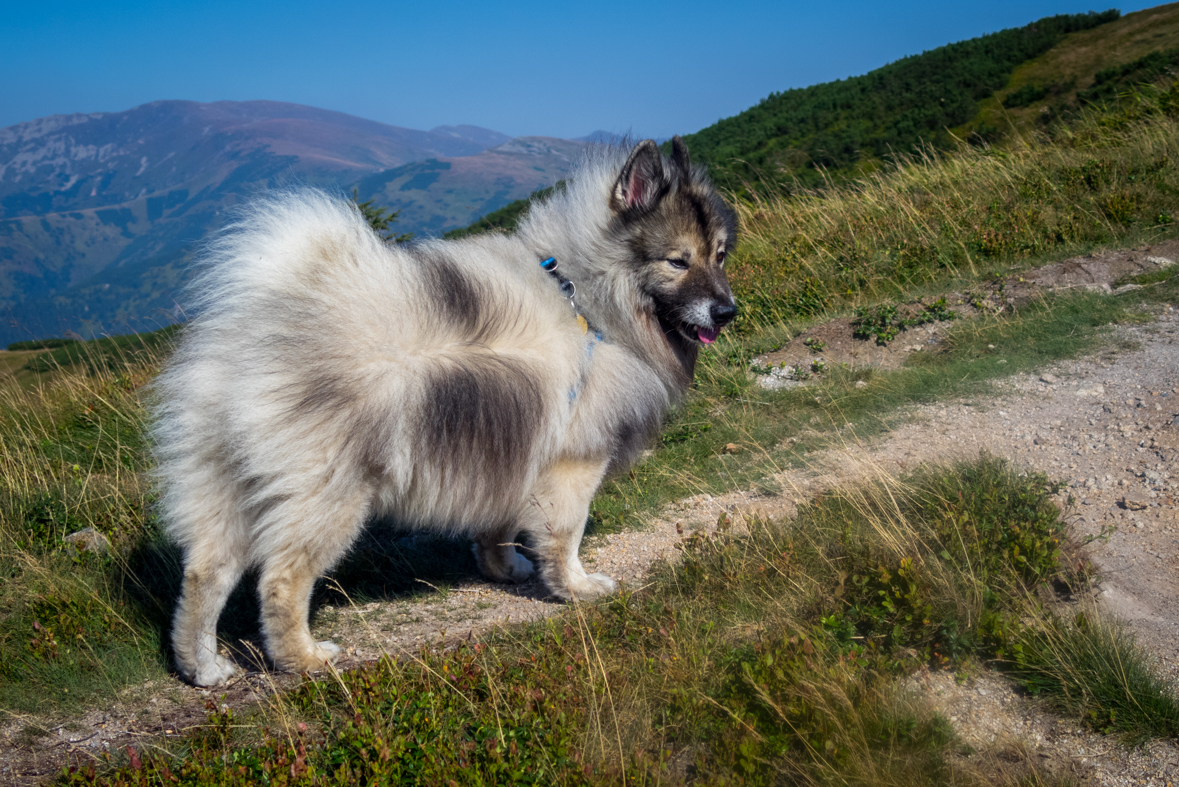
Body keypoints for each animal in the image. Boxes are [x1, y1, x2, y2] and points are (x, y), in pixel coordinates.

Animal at [150, 138, 730, 683]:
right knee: (281, 579)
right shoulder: (573, 461)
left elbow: (497, 524)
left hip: (226, 484)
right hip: (330, 495)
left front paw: (505, 568)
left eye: (720, 255)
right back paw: (304, 659)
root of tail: (253, 331)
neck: (587, 301)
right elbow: (565, 537)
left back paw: (203, 668)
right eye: (677, 261)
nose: (727, 311)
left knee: (204, 574)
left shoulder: (511, 446)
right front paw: (578, 587)